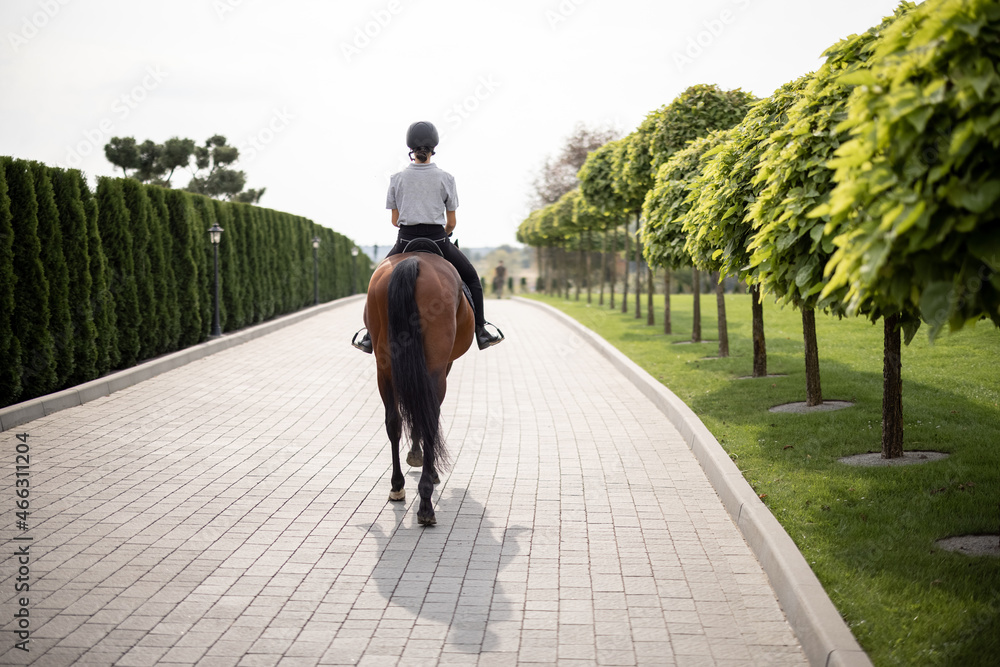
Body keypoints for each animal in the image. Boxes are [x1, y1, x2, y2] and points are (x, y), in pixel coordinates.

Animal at [362, 241, 474, 528]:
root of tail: (413, 262)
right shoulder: (444, 366)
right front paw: (424, 462)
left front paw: (414, 455)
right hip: (434, 367)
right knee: (429, 418)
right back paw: (426, 503)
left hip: (384, 368)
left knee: (394, 421)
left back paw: (397, 487)